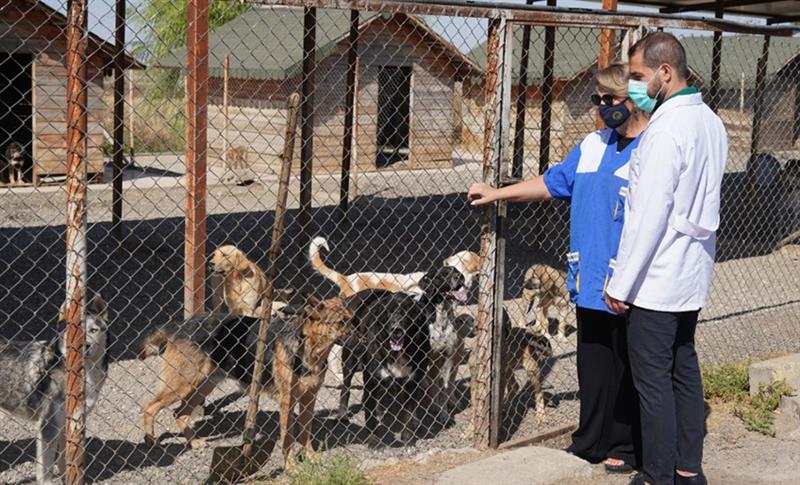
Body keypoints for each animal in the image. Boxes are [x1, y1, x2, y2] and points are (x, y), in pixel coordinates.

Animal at [0, 294, 109, 484]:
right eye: (75, 333)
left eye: (94, 330)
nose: (85, 345)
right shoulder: (48, 425)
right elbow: (46, 466)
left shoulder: (68, 424)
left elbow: (65, 460)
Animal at [139, 294, 352, 466]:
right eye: (341, 322)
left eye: (352, 320)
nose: (359, 338)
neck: (308, 346)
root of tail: (180, 326)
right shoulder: (287, 402)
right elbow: (288, 438)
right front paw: (291, 466)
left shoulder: (309, 398)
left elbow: (306, 432)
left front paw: (311, 457)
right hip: (182, 385)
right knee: (150, 406)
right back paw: (151, 440)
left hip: (203, 384)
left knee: (180, 413)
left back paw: (193, 441)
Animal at [334, 266, 466, 444]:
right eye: (442, 275)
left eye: (456, 271)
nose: (460, 277)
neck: (440, 317)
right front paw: (417, 420)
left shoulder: (443, 357)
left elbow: (441, 390)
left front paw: (443, 414)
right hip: (350, 357)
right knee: (346, 387)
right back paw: (343, 415)